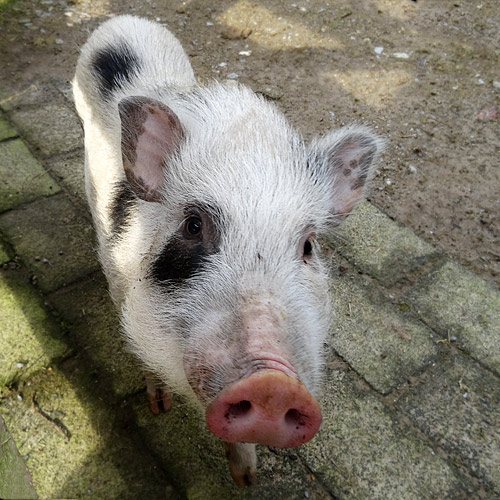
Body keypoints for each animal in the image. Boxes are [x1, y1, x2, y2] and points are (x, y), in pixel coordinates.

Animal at [72, 15, 382, 488]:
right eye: (193, 225)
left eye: (308, 245)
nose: (273, 384)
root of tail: (122, 20)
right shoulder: (117, 267)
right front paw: (158, 406)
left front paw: (247, 480)